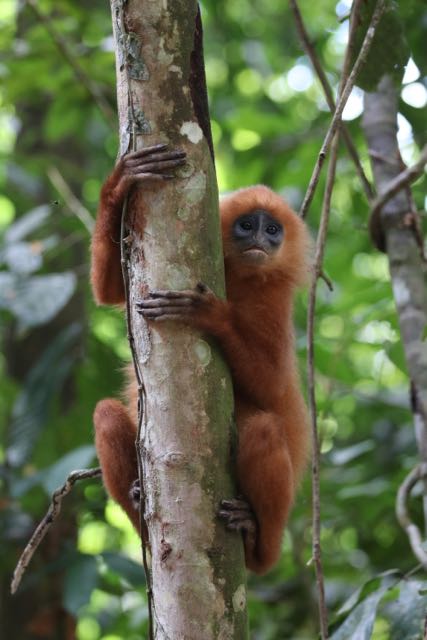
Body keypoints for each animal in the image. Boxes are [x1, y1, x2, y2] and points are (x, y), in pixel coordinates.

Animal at [92, 143, 310, 574]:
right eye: (247, 225)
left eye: (272, 230)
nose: (260, 239)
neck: (240, 275)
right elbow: (108, 291)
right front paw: (122, 180)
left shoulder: (274, 299)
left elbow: (273, 385)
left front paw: (209, 315)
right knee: (106, 413)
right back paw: (139, 502)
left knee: (264, 429)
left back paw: (258, 542)